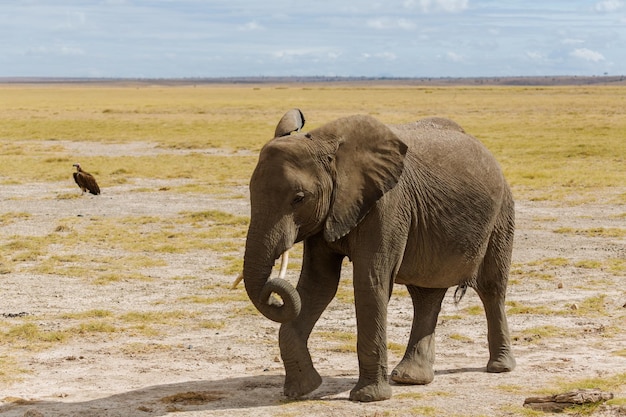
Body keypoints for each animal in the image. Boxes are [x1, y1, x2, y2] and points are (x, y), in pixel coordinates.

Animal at [241, 109, 516, 400]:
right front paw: (301, 391)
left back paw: (499, 367)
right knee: (426, 295)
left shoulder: (386, 205)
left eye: (299, 198)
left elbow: (370, 282)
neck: (325, 144)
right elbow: (318, 286)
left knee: (491, 288)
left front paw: (368, 398)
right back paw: (410, 378)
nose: (272, 293)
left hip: (502, 214)